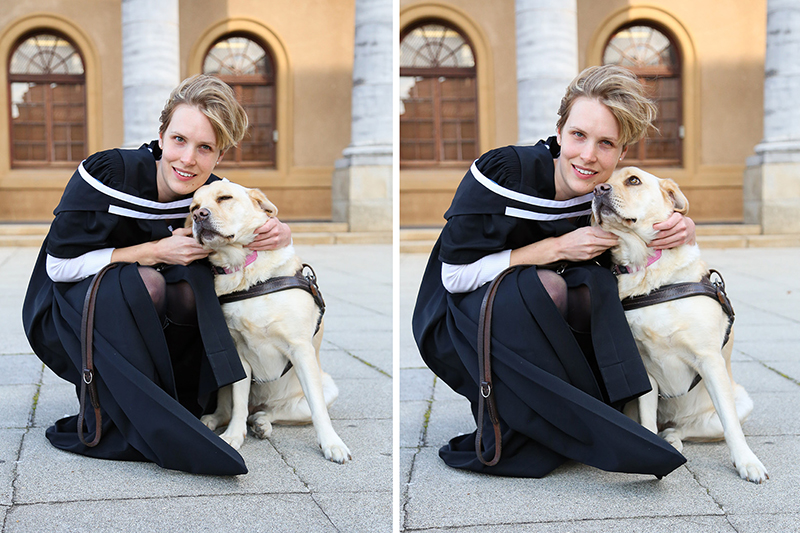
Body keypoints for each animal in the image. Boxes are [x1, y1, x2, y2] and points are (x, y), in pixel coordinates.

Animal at [189, 180, 352, 462]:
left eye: (224, 198)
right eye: (193, 207)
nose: (199, 216)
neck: (245, 270)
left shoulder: (301, 349)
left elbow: (318, 409)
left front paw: (332, 443)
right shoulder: (238, 354)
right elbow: (238, 404)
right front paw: (233, 436)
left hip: (328, 388)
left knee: (276, 412)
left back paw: (262, 423)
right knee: (231, 409)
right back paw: (214, 420)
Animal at [592, 167, 768, 482]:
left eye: (633, 180)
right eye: (601, 180)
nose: (598, 190)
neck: (648, 270)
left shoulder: (709, 360)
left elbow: (731, 426)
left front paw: (747, 461)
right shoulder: (644, 369)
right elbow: (647, 421)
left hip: (739, 403)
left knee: (688, 428)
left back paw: (673, 437)